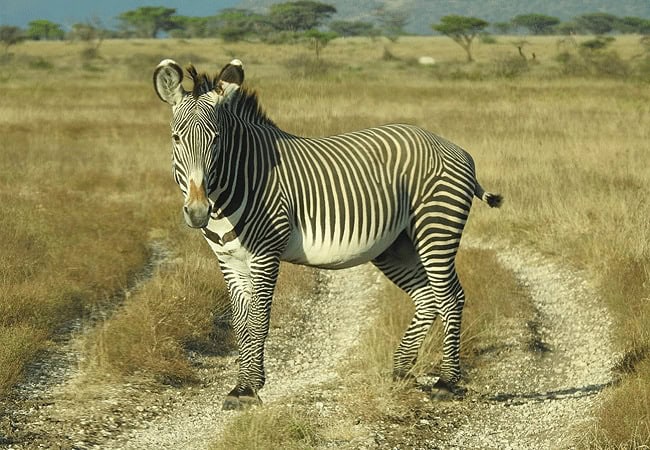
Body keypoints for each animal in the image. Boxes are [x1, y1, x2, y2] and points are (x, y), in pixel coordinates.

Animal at [153, 58, 502, 410]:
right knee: (427, 298)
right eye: (176, 138)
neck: (238, 180)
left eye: (216, 139)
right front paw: (242, 386)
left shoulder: (265, 253)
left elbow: (259, 320)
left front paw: (249, 389)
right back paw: (401, 372)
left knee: (451, 297)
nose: (198, 212)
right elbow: (241, 325)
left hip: (436, 227)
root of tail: (453, 147)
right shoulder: (229, 260)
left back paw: (447, 382)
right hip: (396, 246)